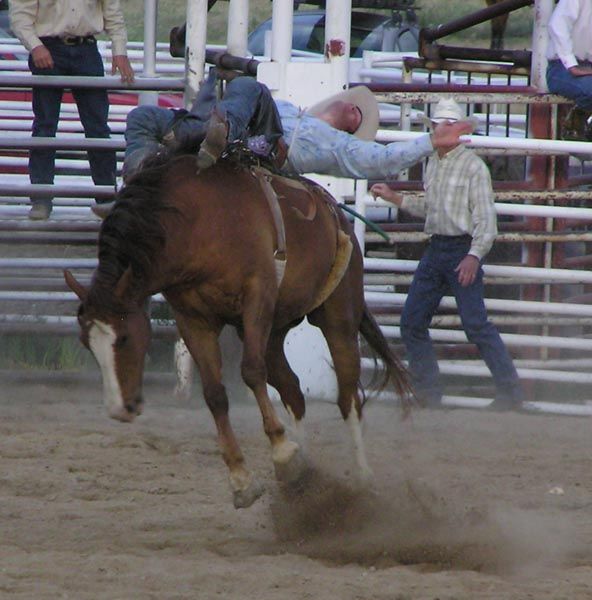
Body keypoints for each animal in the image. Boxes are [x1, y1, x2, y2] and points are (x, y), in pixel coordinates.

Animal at [62, 152, 410, 508]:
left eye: (124, 338)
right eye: (86, 343)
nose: (120, 410)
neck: (195, 222)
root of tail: (336, 213)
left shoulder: (256, 297)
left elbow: (251, 372)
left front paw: (281, 451)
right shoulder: (193, 320)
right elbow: (214, 393)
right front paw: (243, 479)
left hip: (338, 316)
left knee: (347, 395)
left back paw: (361, 478)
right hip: (273, 333)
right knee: (293, 391)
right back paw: (302, 475)